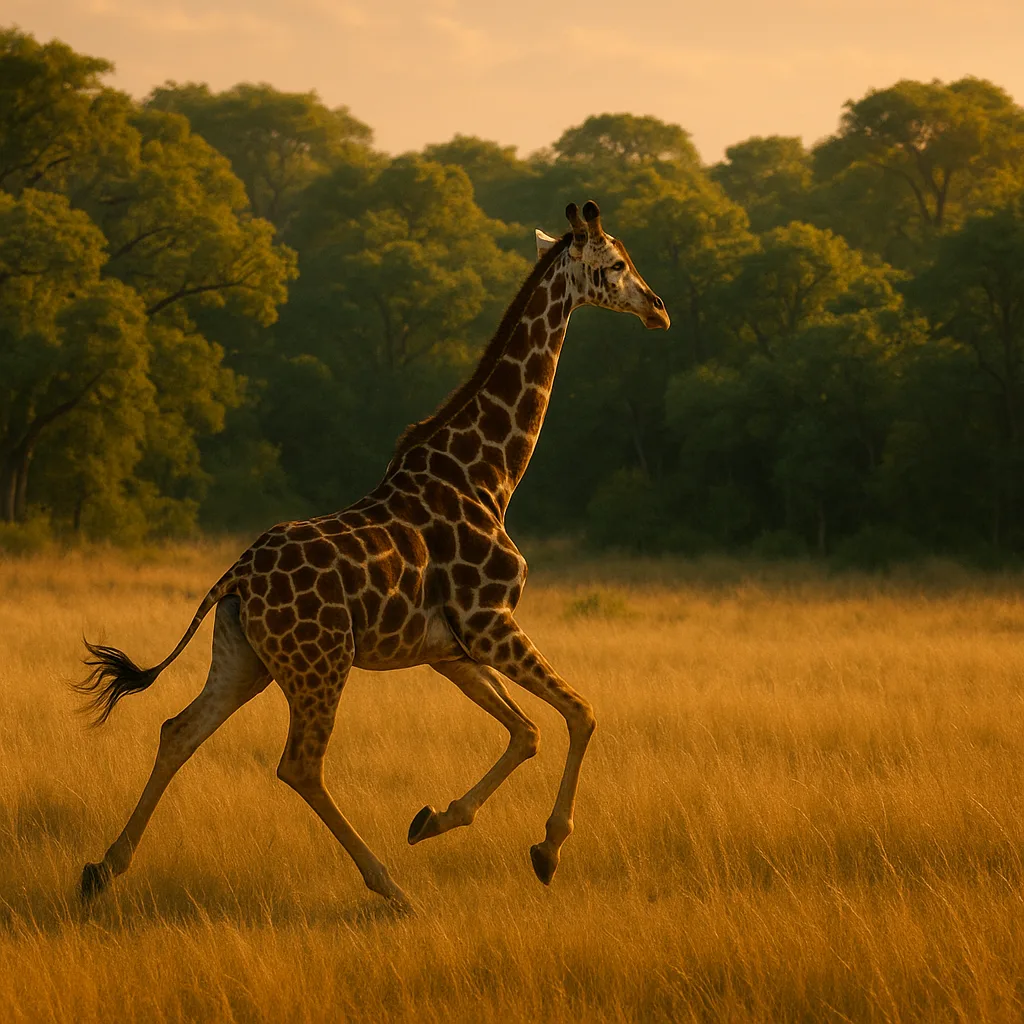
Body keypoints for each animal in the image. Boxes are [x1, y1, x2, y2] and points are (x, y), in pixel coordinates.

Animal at [76, 200, 670, 911]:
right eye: (618, 264)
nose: (659, 309)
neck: (488, 477)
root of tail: (236, 576)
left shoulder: (450, 649)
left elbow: (525, 731)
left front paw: (434, 819)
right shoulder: (492, 623)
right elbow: (581, 713)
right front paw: (547, 851)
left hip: (246, 659)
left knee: (179, 732)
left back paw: (101, 871)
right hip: (319, 663)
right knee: (298, 765)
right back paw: (392, 889)